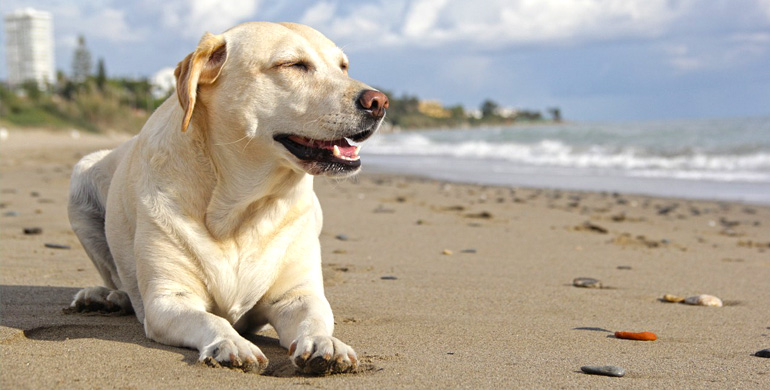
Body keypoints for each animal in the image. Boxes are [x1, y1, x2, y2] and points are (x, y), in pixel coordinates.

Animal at [66, 22, 388, 374]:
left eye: (343, 67)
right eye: (293, 64)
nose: (379, 102)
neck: (240, 209)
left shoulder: (297, 295)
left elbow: (316, 317)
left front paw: (325, 343)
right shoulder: (168, 299)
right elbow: (211, 320)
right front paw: (232, 342)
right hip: (80, 178)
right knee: (117, 279)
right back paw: (105, 298)